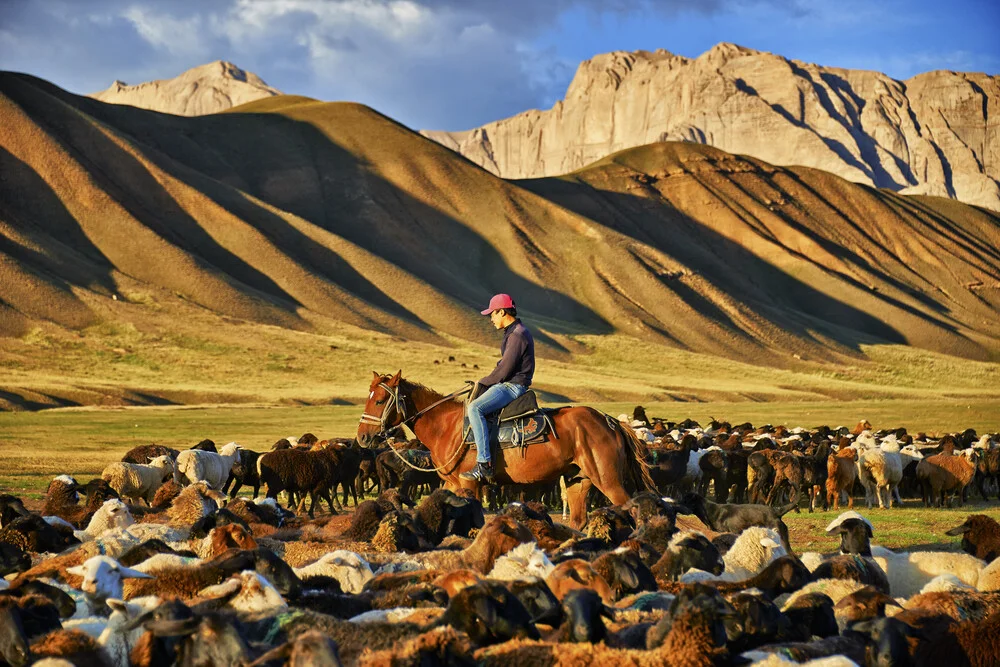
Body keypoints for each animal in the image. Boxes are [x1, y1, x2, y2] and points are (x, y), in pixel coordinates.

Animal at [356, 370, 652, 528]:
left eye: (380, 400)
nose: (362, 437)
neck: (446, 426)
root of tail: (610, 421)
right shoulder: (452, 484)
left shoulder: (470, 483)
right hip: (578, 480)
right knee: (578, 520)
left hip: (608, 480)